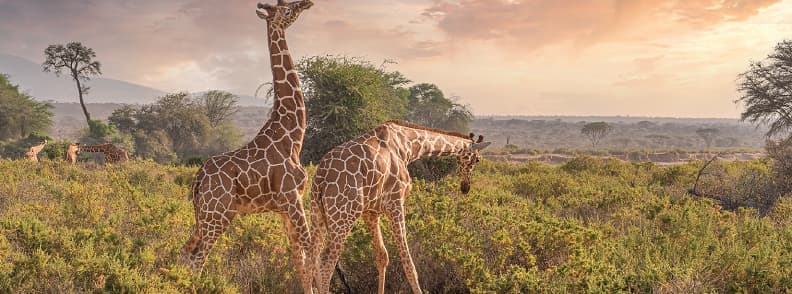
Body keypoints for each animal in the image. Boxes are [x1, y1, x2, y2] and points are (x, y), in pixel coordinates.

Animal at [179, 0, 316, 292]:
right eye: (287, 10)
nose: (306, 3)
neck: (292, 137)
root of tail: (197, 180)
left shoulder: (285, 208)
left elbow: (299, 259)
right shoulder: (293, 199)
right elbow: (311, 251)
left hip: (204, 216)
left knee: (185, 252)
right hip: (218, 215)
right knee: (197, 258)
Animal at [308, 120, 488, 292]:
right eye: (477, 159)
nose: (465, 187)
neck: (408, 146)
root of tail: (320, 177)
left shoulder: (371, 211)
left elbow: (382, 256)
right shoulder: (395, 202)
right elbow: (408, 263)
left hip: (318, 214)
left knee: (311, 260)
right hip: (344, 215)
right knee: (325, 263)